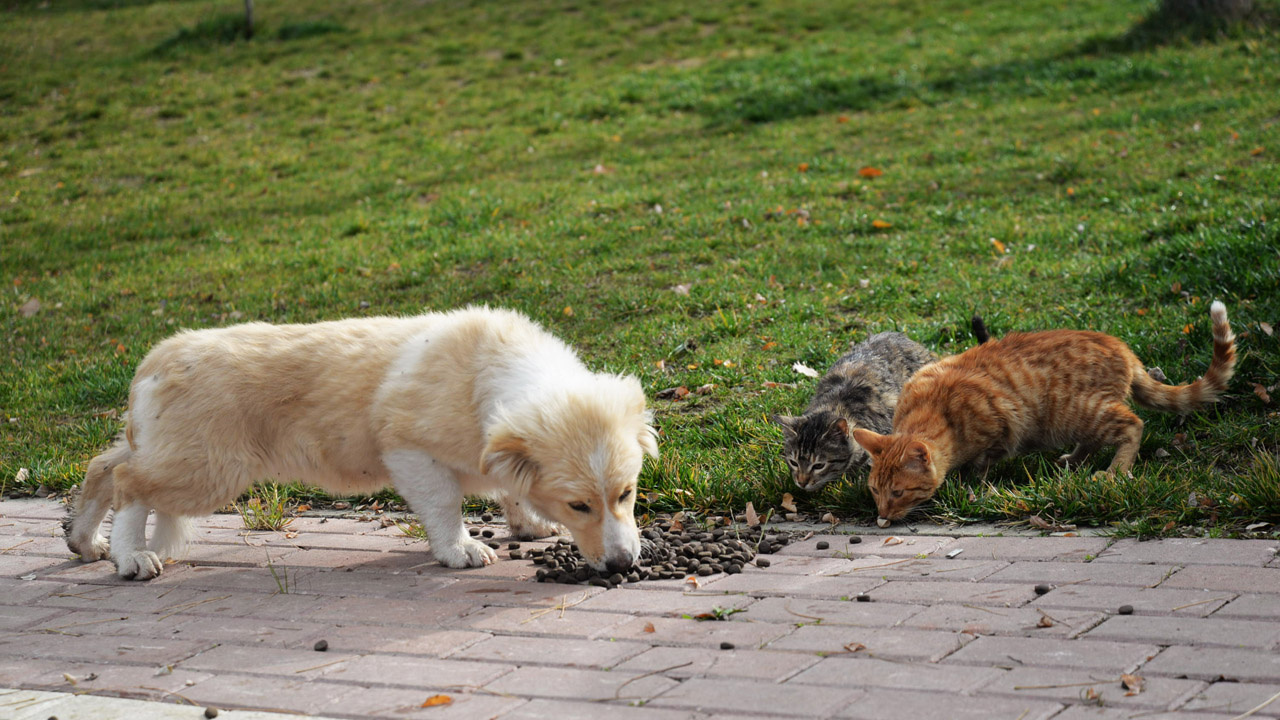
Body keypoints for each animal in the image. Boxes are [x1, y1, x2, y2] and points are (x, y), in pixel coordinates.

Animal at [64, 307, 655, 576]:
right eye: (580, 505)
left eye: (626, 494)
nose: (624, 565)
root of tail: (156, 359)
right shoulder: (411, 453)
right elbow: (446, 506)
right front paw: (461, 549)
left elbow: (508, 485)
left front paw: (528, 523)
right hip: (204, 468)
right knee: (129, 482)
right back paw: (131, 557)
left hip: (170, 447)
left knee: (102, 465)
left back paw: (86, 543)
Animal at [855, 299, 1233, 525]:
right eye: (874, 490)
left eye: (898, 493)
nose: (882, 515)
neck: (935, 410)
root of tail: (1123, 349)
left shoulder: (1001, 430)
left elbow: (981, 465)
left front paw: (970, 483)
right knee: (1095, 439)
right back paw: (1073, 461)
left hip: (1079, 411)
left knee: (1132, 424)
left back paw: (1115, 471)